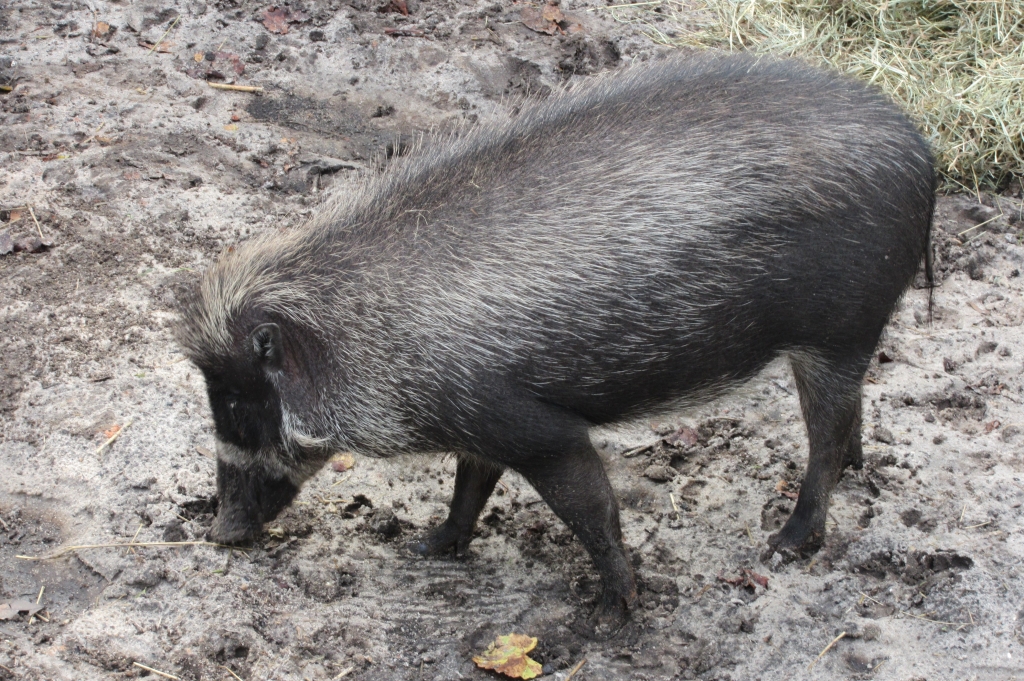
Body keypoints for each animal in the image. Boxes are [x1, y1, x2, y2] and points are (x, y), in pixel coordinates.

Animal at [175, 52, 934, 635]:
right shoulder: (478, 429)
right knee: (848, 421)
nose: (221, 535)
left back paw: (786, 543)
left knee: (826, 434)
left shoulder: (534, 427)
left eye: (241, 405)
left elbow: (594, 511)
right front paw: (430, 546)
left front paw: (614, 614)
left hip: (838, 332)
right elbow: (469, 488)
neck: (363, 335)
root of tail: (921, 151)